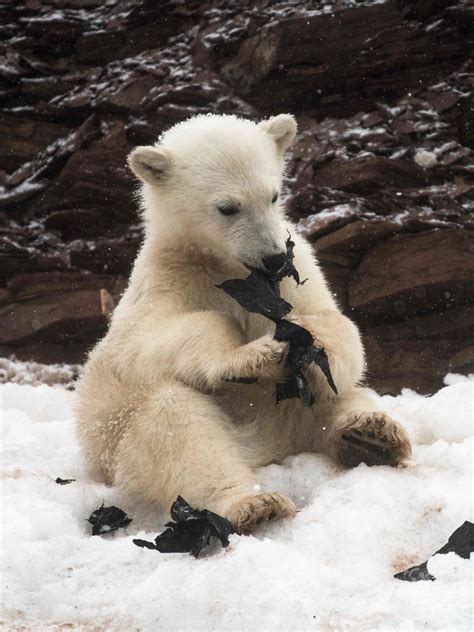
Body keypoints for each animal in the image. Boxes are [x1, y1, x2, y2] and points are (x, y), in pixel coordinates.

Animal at [75, 113, 412, 532]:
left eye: (273, 195)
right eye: (227, 207)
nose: (273, 257)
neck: (227, 266)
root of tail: (266, 445)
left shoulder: (297, 268)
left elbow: (333, 320)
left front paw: (310, 338)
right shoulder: (166, 279)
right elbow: (141, 343)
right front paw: (251, 356)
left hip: (295, 407)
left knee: (338, 397)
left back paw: (371, 434)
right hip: (119, 433)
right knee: (176, 426)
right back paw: (254, 503)